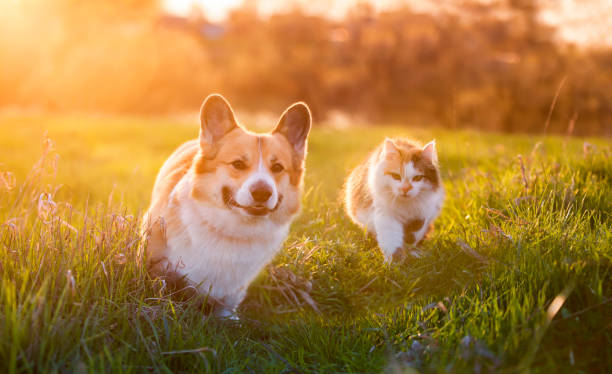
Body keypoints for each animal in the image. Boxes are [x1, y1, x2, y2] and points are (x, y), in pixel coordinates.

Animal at [143, 95, 310, 318]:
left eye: (277, 167)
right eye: (238, 164)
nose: (262, 192)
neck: (233, 229)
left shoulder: (232, 293)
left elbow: (226, 310)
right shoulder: (158, 268)